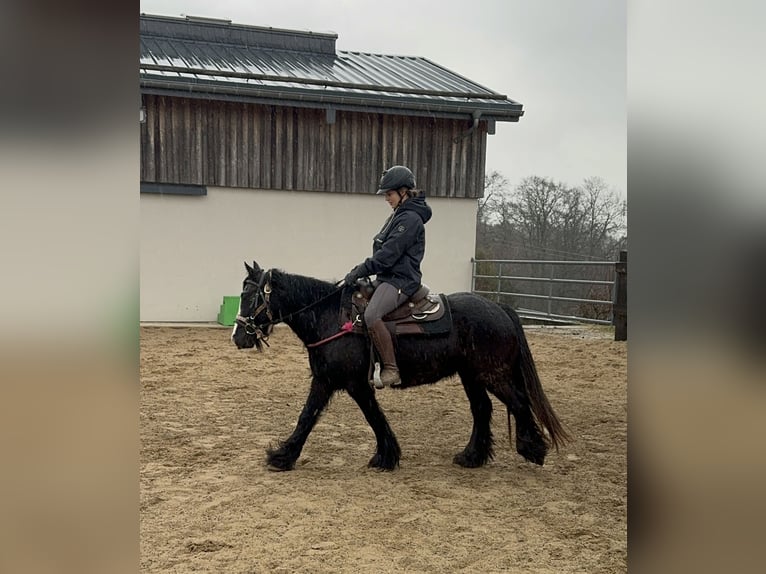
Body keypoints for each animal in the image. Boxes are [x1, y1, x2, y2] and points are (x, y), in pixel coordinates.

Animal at [232, 260, 568, 472]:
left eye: (250, 295)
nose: (237, 336)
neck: (331, 317)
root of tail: (498, 307)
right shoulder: (326, 381)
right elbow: (309, 416)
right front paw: (284, 456)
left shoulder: (352, 383)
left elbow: (367, 416)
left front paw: (385, 456)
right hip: (471, 375)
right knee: (482, 409)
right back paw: (472, 456)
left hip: (492, 374)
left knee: (519, 402)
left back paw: (532, 449)